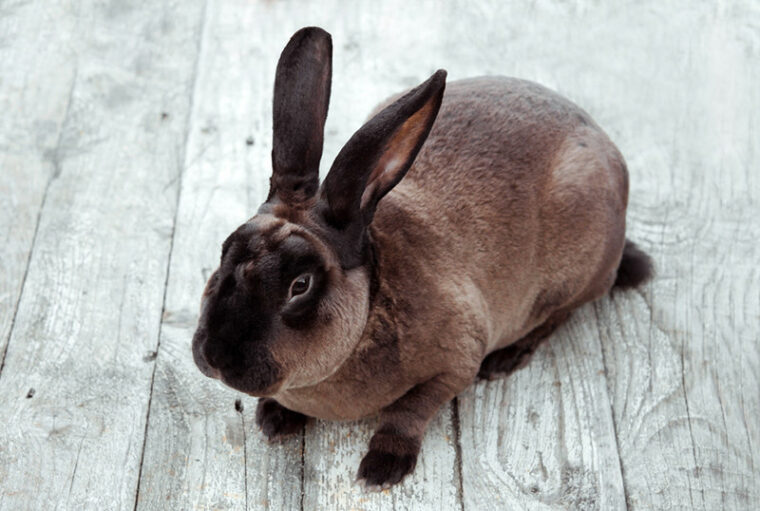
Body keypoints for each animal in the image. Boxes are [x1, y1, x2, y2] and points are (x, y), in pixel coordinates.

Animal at [191, 26, 653, 489]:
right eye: (224, 251)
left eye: (299, 285)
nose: (215, 357)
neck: (372, 305)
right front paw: (274, 419)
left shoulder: (454, 366)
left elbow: (407, 411)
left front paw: (382, 467)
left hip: (576, 268)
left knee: (561, 312)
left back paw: (506, 359)